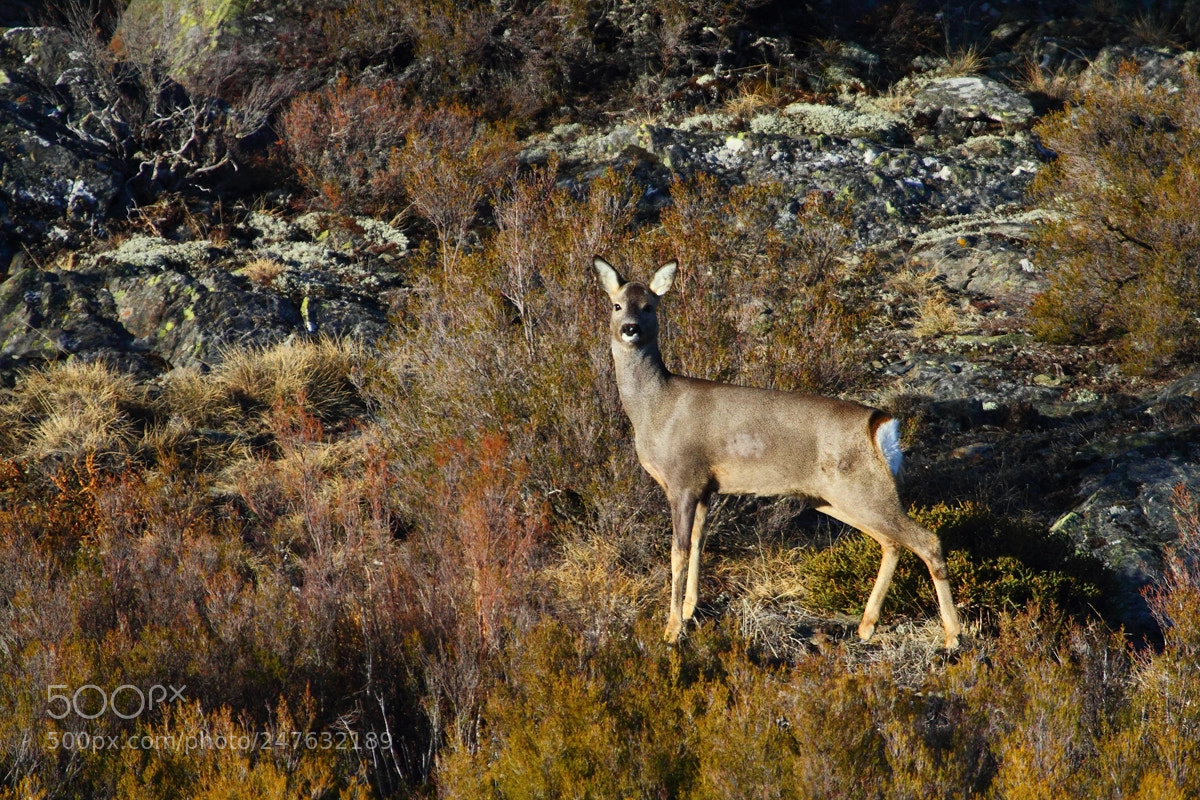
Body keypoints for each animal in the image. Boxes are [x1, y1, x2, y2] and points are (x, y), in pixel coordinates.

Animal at [593, 255, 962, 650]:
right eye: (617, 305)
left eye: (649, 306)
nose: (630, 328)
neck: (655, 407)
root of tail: (880, 425)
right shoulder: (707, 487)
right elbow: (698, 542)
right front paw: (691, 610)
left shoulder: (684, 479)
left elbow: (678, 552)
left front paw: (672, 629)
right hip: (835, 497)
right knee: (891, 542)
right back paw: (867, 626)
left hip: (864, 489)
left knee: (927, 540)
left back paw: (953, 635)